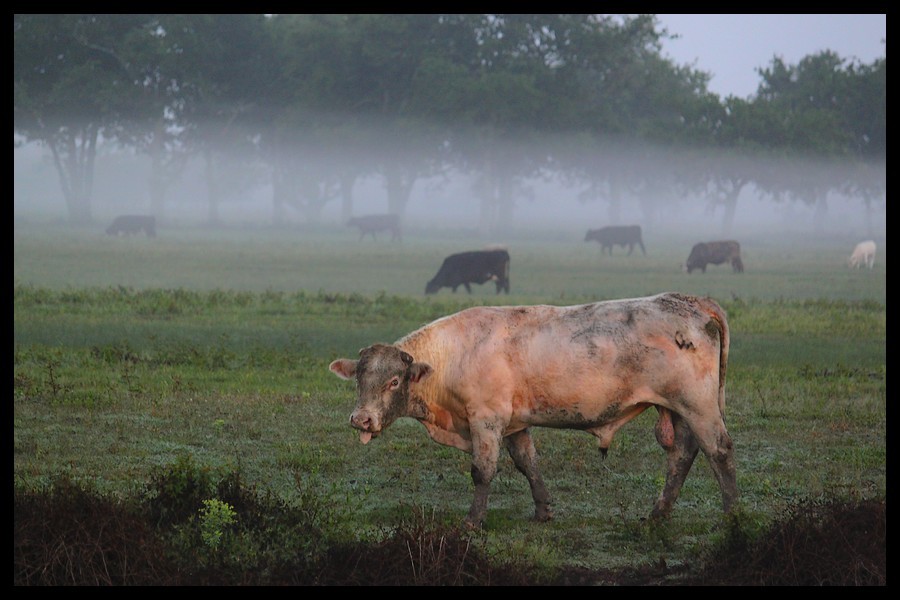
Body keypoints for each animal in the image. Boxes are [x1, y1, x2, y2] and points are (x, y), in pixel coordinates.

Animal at [330, 292, 740, 528]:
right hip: (679, 410)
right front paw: (543, 510)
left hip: (698, 405)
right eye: (359, 379)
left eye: (393, 382)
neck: (453, 356)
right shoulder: (513, 425)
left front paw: (473, 521)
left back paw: (730, 516)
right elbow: (528, 463)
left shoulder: (486, 420)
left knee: (719, 451)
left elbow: (482, 472)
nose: (361, 418)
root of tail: (690, 299)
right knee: (683, 453)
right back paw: (659, 512)